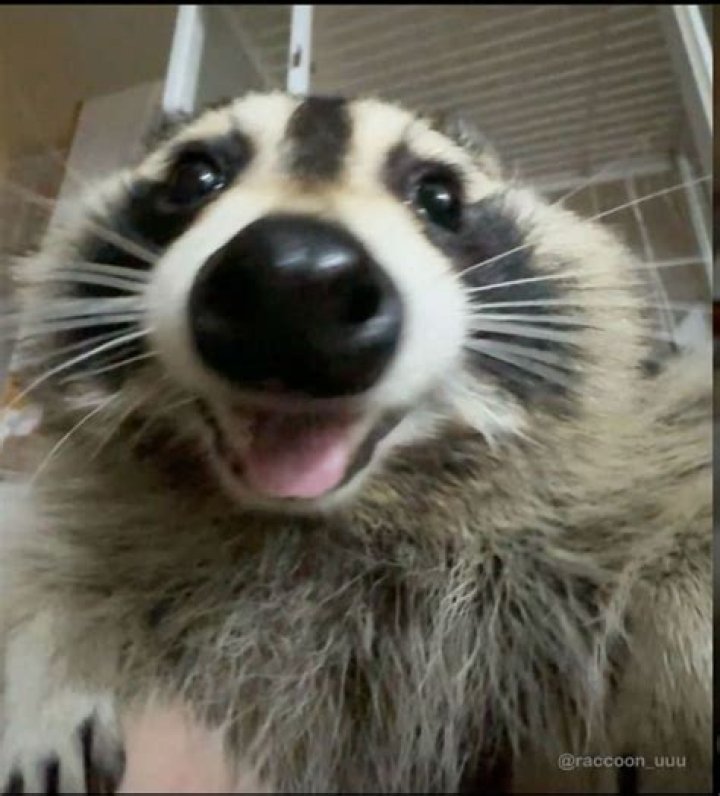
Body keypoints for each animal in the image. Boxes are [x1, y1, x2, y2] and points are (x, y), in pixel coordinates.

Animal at [0, 92, 711, 793]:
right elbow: (46, 552)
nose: (294, 284)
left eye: (439, 197)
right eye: (194, 177)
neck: (317, 522)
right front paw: (47, 656)